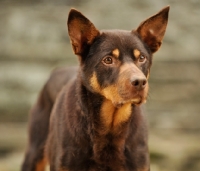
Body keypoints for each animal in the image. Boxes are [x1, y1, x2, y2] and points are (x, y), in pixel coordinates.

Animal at [21, 6, 169, 171]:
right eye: (108, 60)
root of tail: (56, 71)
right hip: (35, 153)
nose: (140, 82)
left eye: (142, 58)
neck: (110, 126)